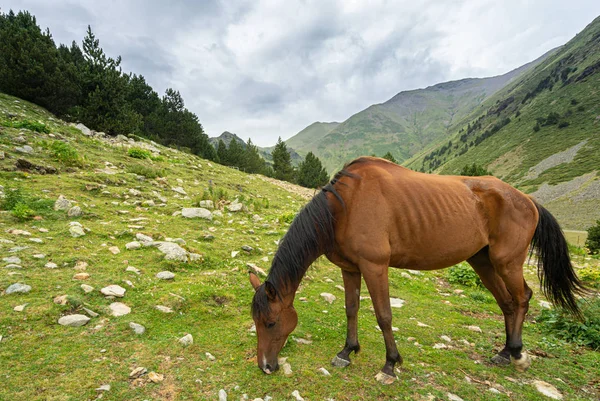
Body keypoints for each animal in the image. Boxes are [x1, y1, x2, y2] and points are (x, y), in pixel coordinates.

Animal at [250, 155, 584, 382]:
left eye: (270, 323)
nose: (265, 366)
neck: (344, 207)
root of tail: (527, 199)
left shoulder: (375, 267)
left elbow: (384, 316)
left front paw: (390, 364)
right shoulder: (350, 269)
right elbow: (351, 309)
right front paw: (347, 351)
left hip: (507, 262)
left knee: (522, 298)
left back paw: (517, 354)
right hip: (483, 262)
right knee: (508, 303)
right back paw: (503, 354)